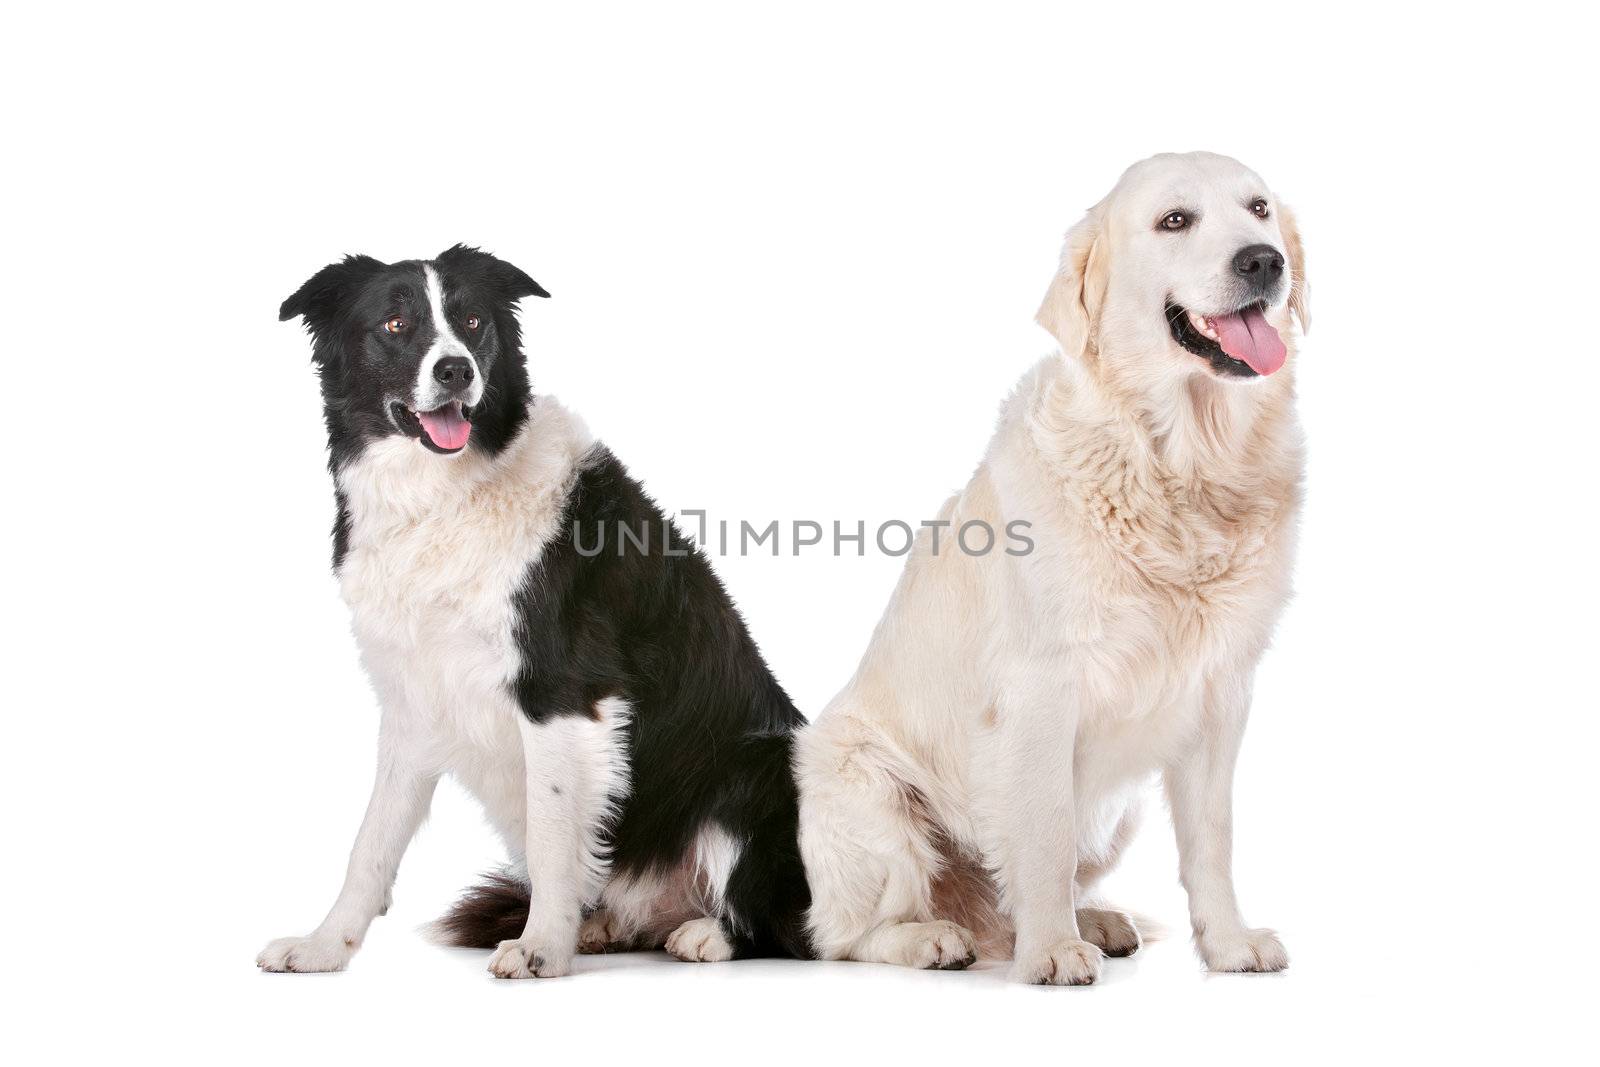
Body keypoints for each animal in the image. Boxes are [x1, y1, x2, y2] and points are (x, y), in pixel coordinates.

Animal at [265, 246, 812, 979]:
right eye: (395, 323)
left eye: (472, 319)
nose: (456, 369)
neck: (444, 497)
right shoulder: (414, 699)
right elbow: (371, 844)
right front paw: (325, 946)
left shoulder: (562, 693)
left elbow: (554, 836)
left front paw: (541, 947)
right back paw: (606, 926)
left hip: (757, 771)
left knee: (784, 924)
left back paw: (706, 935)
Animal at [800, 150, 1312, 985]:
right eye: (1175, 220)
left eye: (1259, 208)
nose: (1263, 261)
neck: (1181, 465)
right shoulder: (1041, 687)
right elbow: (1041, 829)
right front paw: (1048, 951)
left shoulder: (1221, 690)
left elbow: (1212, 839)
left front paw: (1230, 944)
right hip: (865, 785)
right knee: (843, 932)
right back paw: (935, 937)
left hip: (1121, 810)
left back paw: (1088, 918)